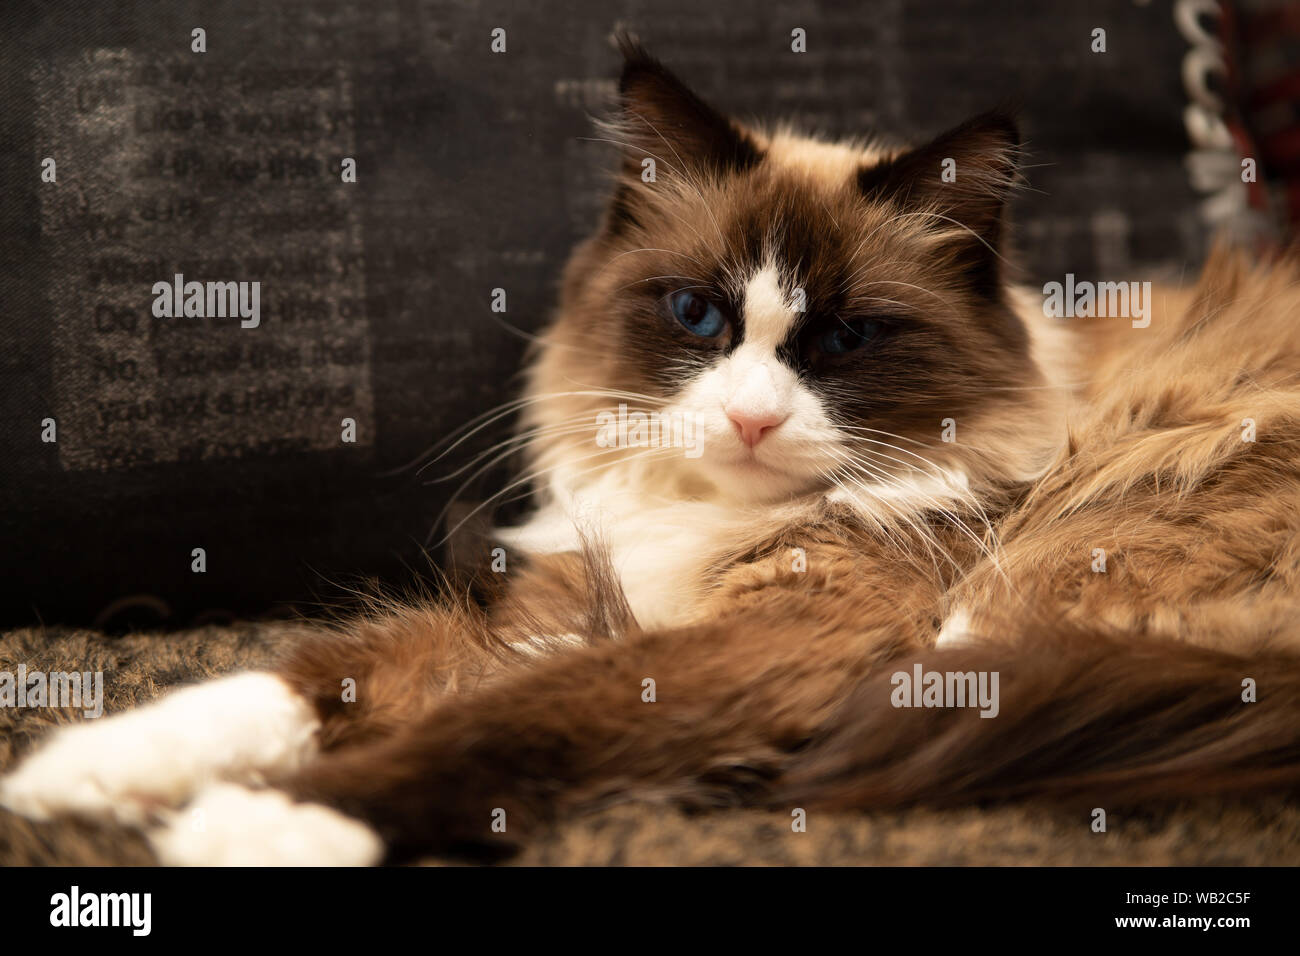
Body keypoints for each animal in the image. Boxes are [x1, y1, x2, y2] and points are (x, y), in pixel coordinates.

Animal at [2, 41, 1300, 868]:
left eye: (840, 339)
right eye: (696, 315)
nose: (752, 418)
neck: (699, 525)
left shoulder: (790, 628)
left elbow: (504, 721)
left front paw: (269, 823)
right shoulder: (581, 592)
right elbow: (322, 672)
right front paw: (87, 772)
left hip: (1019, 591)